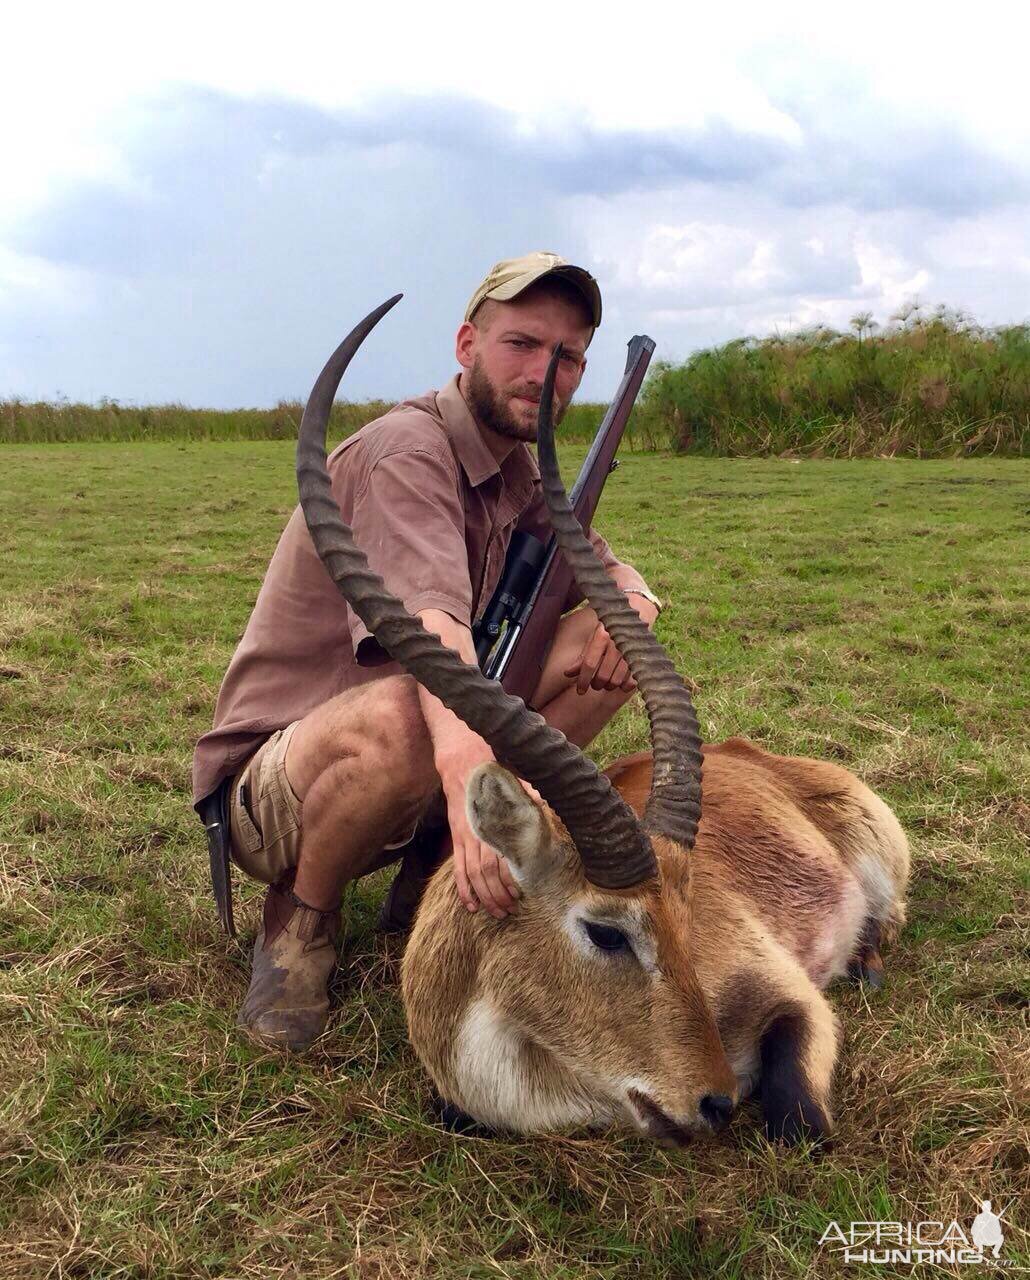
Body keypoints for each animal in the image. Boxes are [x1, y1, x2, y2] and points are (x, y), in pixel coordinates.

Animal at [293, 302, 905, 1152]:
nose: (715, 1100)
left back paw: (870, 965)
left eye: (687, 916)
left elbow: (798, 1121)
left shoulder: (795, 1002)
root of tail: (758, 755)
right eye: (608, 931)